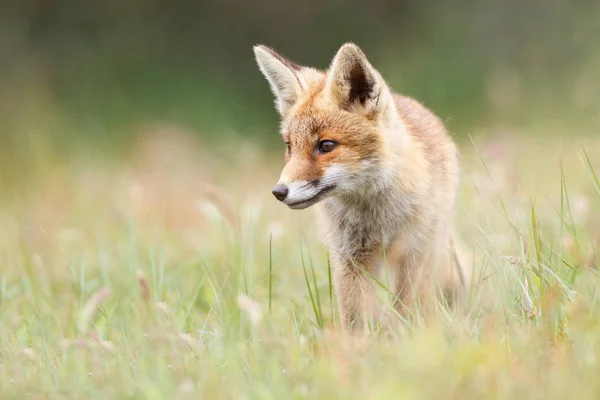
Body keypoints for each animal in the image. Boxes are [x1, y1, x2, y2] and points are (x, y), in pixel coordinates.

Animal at [252, 43, 468, 332]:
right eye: (289, 146)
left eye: (326, 145)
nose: (279, 192)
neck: (378, 216)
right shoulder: (350, 259)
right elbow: (355, 320)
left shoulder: (415, 253)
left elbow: (406, 310)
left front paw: (410, 339)